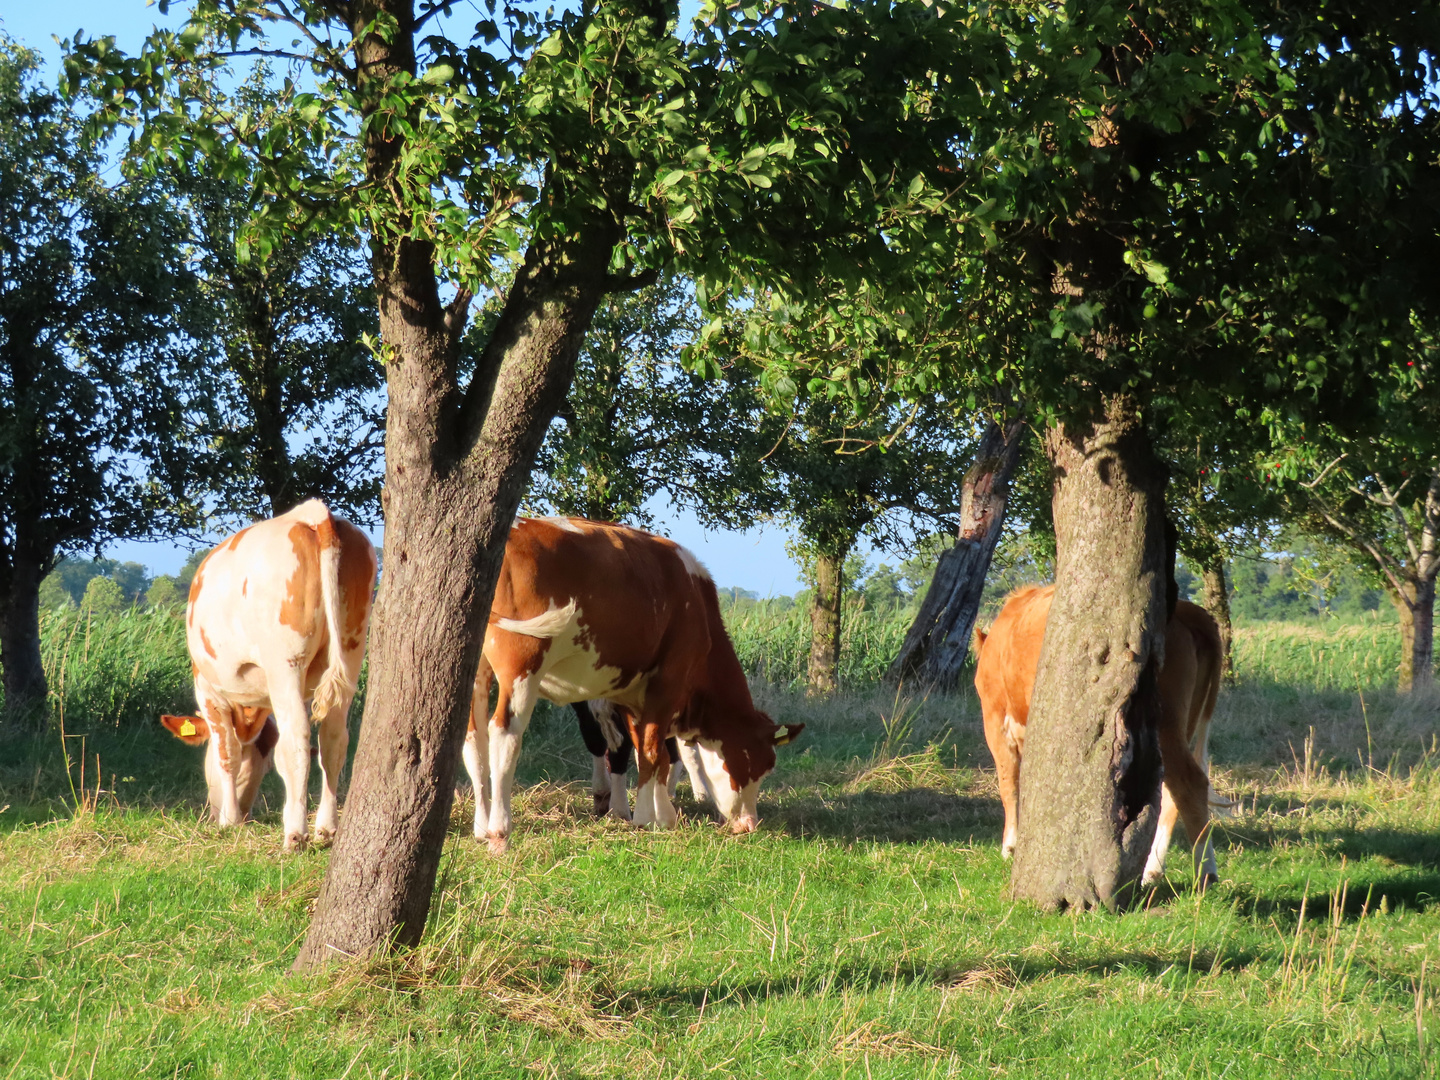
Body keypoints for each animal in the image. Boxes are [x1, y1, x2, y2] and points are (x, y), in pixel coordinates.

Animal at [157, 501, 377, 852]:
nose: (243, 815)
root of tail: (314, 513)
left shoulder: (207, 690)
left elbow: (228, 752)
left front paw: (229, 821)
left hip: (285, 661)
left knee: (296, 740)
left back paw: (295, 834)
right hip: (351, 650)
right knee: (333, 738)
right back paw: (326, 829)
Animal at [463, 515, 800, 852]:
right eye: (754, 764)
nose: (749, 824)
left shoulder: (629, 691)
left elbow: (648, 752)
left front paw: (660, 813)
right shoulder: (668, 681)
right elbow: (651, 749)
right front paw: (645, 817)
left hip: (477, 668)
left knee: (473, 739)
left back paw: (480, 826)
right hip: (523, 663)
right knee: (504, 734)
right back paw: (500, 831)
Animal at [973, 587, 1221, 892]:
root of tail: (1189, 609)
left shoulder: (996, 720)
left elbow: (1010, 784)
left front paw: (1011, 846)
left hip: (1165, 723)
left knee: (1190, 783)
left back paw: (1206, 872)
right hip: (1183, 725)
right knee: (1172, 793)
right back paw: (1152, 870)